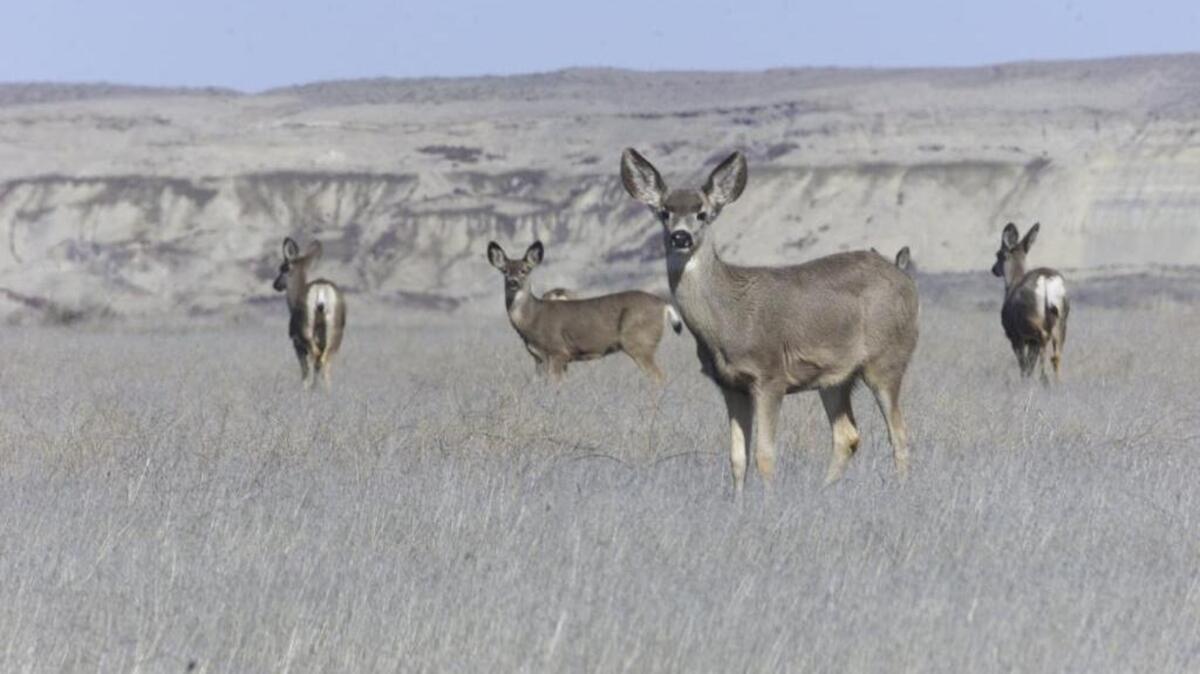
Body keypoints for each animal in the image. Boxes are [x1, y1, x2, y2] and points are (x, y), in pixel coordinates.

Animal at [272, 237, 346, 390]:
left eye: (283, 268)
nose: (275, 285)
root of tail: (321, 290)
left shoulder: (296, 342)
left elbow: (304, 369)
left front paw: (304, 388)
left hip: (306, 331)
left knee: (317, 357)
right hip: (335, 333)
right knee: (326, 361)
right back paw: (326, 390)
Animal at [486, 240, 682, 382]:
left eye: (525, 270)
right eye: (504, 271)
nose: (513, 282)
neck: (532, 319)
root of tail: (664, 305)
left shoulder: (558, 351)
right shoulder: (539, 359)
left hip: (640, 342)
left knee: (659, 377)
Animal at [621, 149, 919, 495]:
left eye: (703, 213)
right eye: (664, 212)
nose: (680, 237)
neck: (727, 320)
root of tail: (906, 280)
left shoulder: (770, 375)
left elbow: (765, 455)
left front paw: (768, 501)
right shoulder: (730, 385)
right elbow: (737, 458)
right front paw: (738, 502)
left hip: (887, 360)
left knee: (899, 434)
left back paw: (900, 490)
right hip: (835, 377)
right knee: (847, 435)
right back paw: (823, 492)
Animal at [991, 222, 1069, 383]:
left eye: (998, 254)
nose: (993, 269)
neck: (1013, 282)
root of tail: (1046, 280)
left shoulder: (1015, 336)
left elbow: (1024, 364)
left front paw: (1025, 380)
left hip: (1030, 320)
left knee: (1043, 339)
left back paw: (1044, 379)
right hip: (1062, 319)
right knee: (1056, 355)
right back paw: (1057, 382)